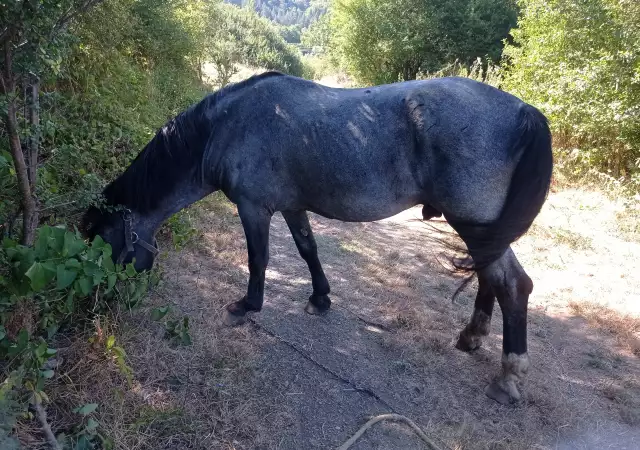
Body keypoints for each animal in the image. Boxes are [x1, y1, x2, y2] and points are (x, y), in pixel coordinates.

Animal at [82, 71, 556, 404]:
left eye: (105, 244)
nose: (103, 309)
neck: (228, 125)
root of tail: (524, 111)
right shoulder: (293, 207)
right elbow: (307, 249)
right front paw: (320, 298)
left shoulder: (254, 207)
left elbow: (259, 259)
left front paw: (246, 306)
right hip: (482, 229)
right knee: (490, 278)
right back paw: (471, 337)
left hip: (472, 223)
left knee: (513, 285)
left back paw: (508, 377)